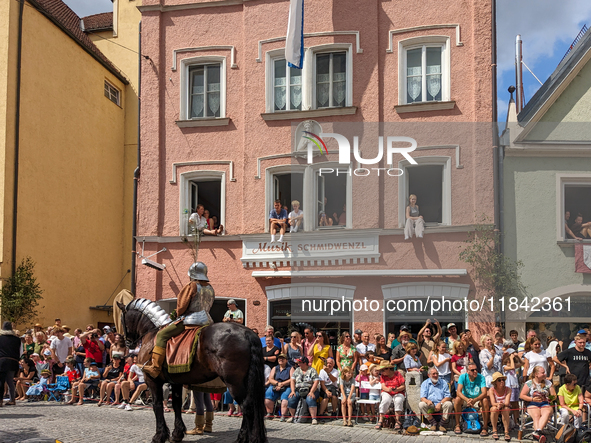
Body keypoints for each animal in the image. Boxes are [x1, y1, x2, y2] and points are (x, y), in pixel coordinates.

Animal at [119, 300, 268, 443]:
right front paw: (177, 433)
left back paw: (244, 438)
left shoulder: (152, 380)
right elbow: (176, 404)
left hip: (234, 382)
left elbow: (157, 405)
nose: (127, 343)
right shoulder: (176, 382)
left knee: (247, 406)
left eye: (122, 320)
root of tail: (247, 333)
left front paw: (159, 436)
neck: (152, 334)